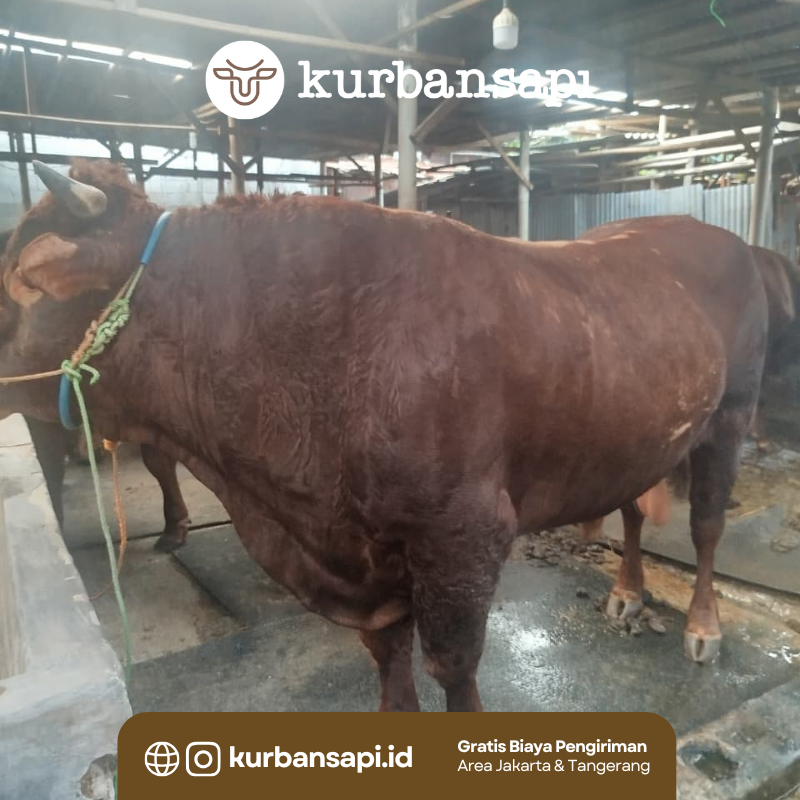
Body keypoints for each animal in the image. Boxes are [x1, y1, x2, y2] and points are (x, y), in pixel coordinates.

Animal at [0, 161, 766, 710]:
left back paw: (703, 628)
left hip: (730, 415)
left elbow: (454, 673)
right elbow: (393, 678)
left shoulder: (464, 537)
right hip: (639, 436)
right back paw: (629, 593)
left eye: (16, 284)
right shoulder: (363, 559)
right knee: (635, 508)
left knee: (705, 526)